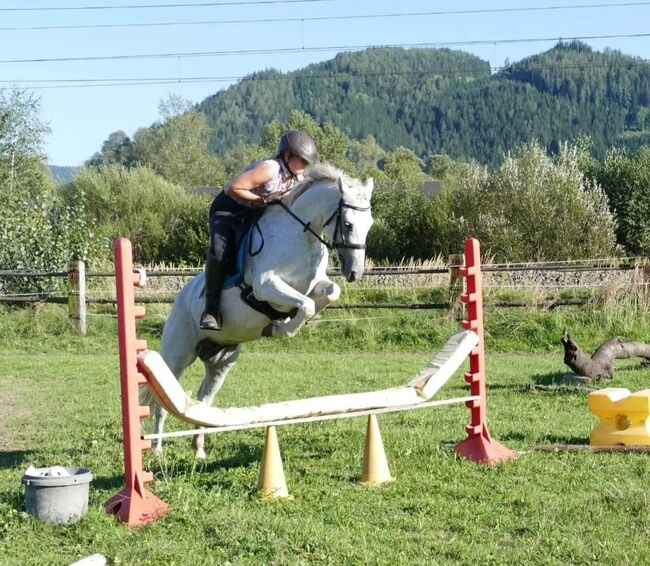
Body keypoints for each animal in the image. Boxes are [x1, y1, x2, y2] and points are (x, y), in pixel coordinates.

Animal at [151, 166, 372, 460]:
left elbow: (327, 293)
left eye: (370, 224)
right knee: (162, 399)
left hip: (221, 362)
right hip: (178, 355)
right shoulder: (266, 286)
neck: (301, 237)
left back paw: (198, 450)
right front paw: (281, 327)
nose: (355, 272)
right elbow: (306, 304)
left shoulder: (314, 284)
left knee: (203, 401)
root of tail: (179, 298)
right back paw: (156, 448)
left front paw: (287, 323)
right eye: (347, 224)